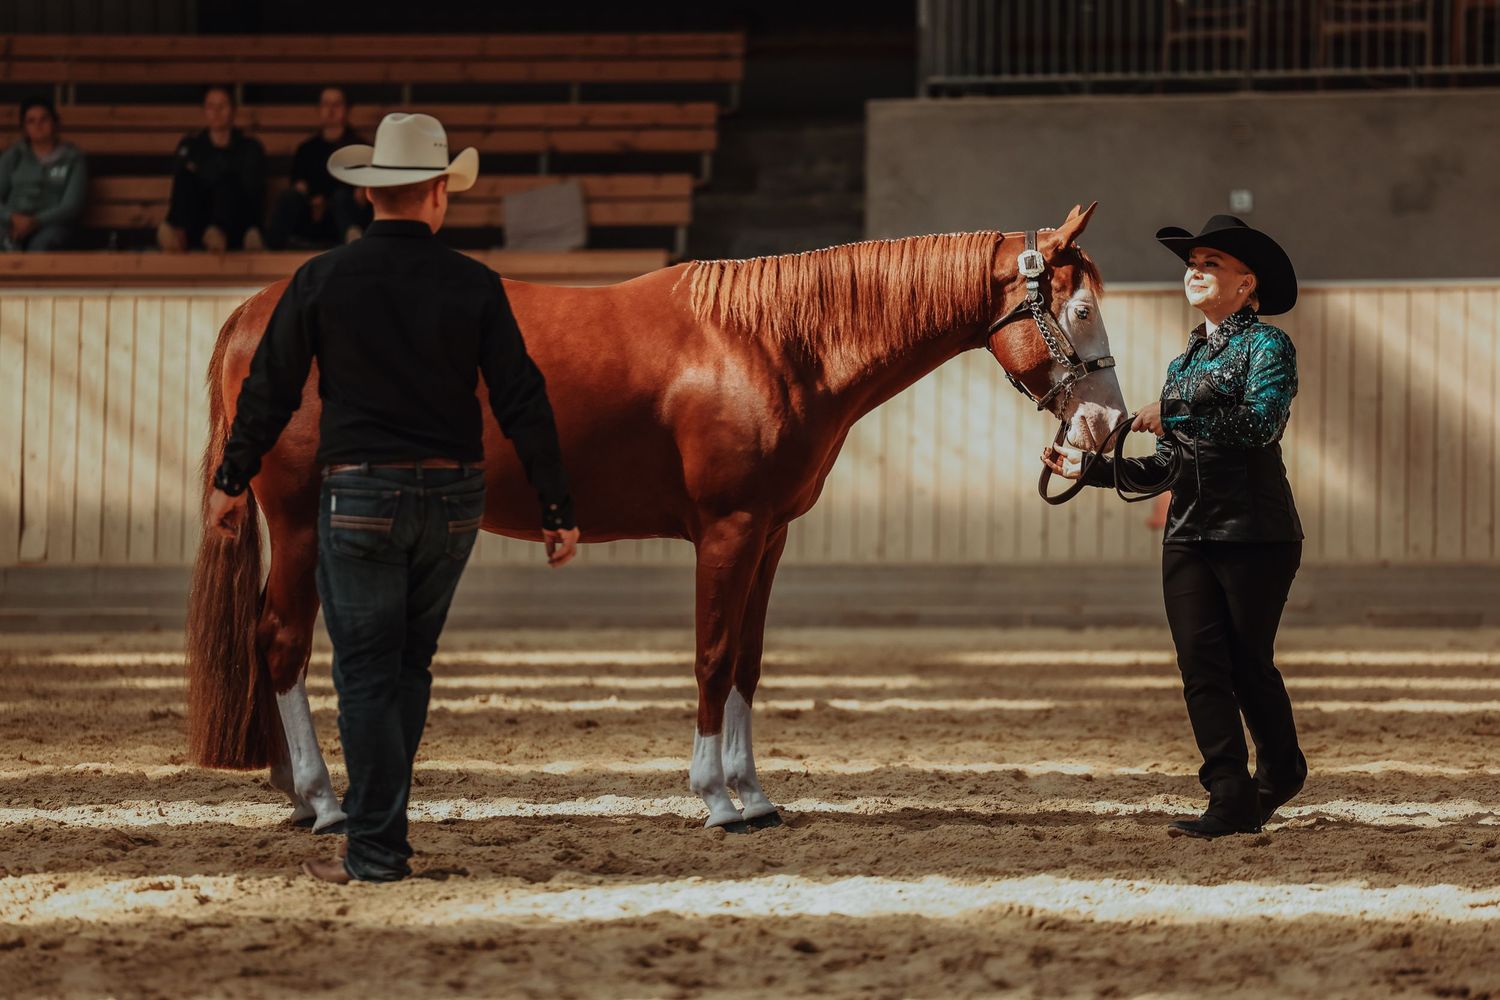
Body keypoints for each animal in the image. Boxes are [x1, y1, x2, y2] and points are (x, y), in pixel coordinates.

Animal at [185, 203, 1126, 834]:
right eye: (1080, 311)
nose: (1104, 426)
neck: (769, 343)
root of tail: (256, 313)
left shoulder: (770, 534)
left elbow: (746, 662)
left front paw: (755, 794)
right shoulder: (728, 529)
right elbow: (711, 656)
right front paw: (716, 799)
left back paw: (290, 788)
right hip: (302, 520)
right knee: (280, 641)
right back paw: (322, 799)